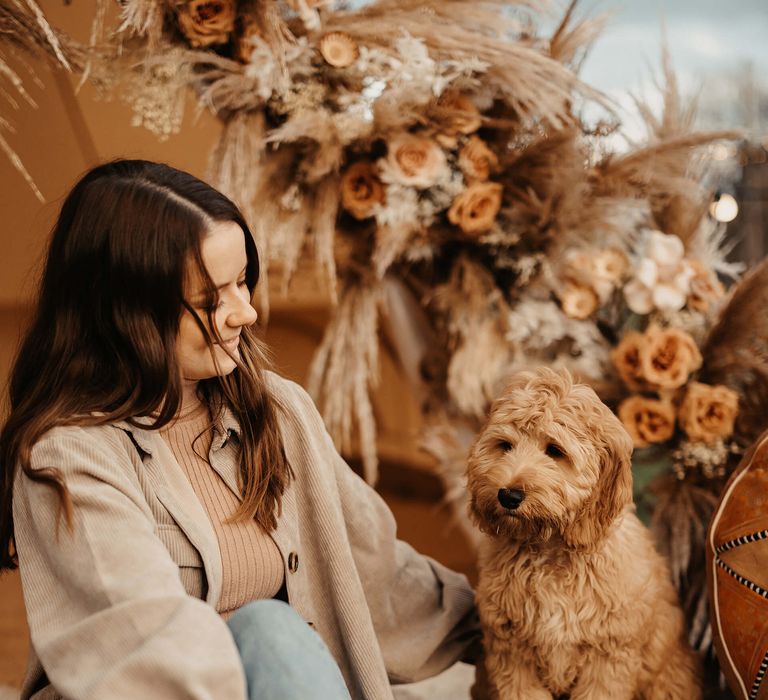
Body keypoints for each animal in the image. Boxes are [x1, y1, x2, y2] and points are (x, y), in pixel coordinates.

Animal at [468, 370, 704, 696]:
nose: (508, 496)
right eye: (505, 445)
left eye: (555, 450)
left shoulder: (608, 655)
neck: (550, 553)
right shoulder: (512, 653)